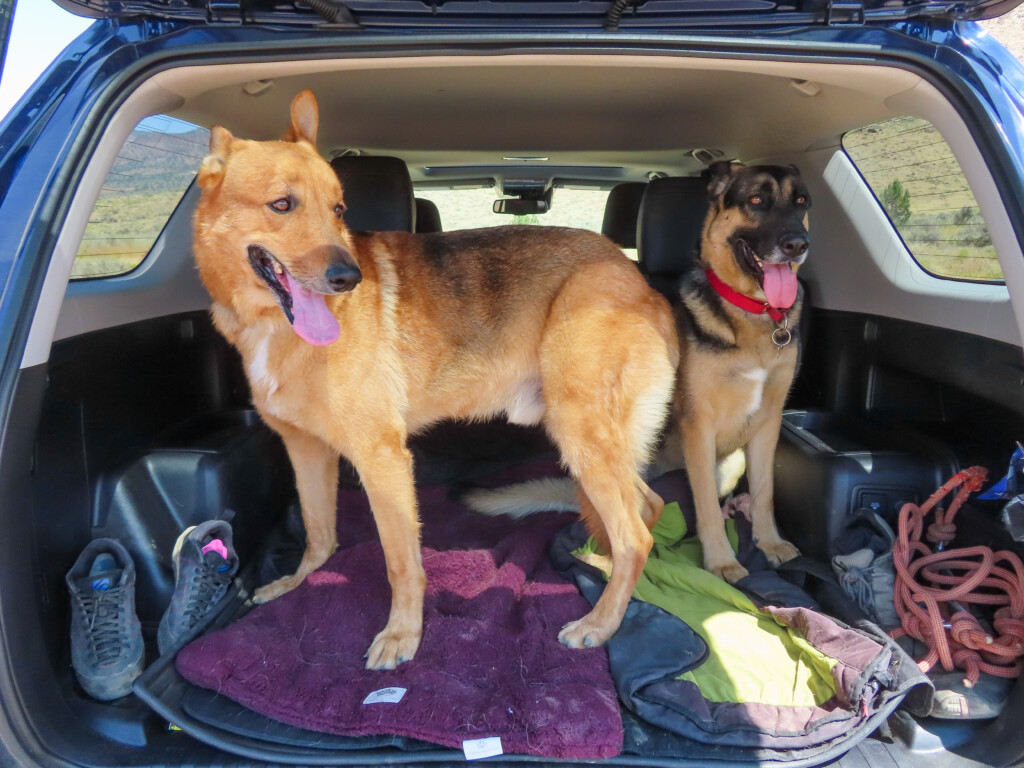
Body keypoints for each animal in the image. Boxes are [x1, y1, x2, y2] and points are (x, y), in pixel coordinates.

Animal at [192, 88, 679, 667]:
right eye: (282, 205)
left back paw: (600, 622)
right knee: (648, 507)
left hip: (581, 433)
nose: (349, 277)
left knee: (635, 536)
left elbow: (401, 561)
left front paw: (403, 634)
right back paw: (600, 572)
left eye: (338, 210)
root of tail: (641, 283)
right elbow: (318, 532)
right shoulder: (306, 450)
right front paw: (296, 583)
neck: (270, 325)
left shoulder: (382, 458)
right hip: (600, 444)